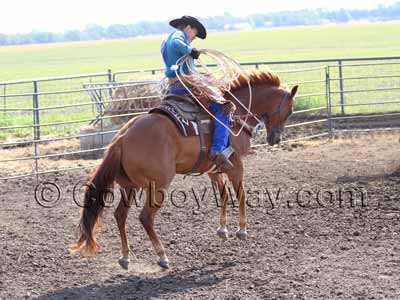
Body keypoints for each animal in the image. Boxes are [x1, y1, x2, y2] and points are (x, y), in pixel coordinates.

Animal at [71, 68, 296, 270]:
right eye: (290, 110)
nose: (275, 139)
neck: (236, 117)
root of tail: (122, 138)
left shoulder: (214, 169)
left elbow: (223, 195)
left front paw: (223, 230)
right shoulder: (236, 166)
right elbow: (240, 195)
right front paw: (242, 231)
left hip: (129, 186)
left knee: (120, 215)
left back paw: (125, 257)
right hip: (158, 186)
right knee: (145, 217)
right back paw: (162, 257)